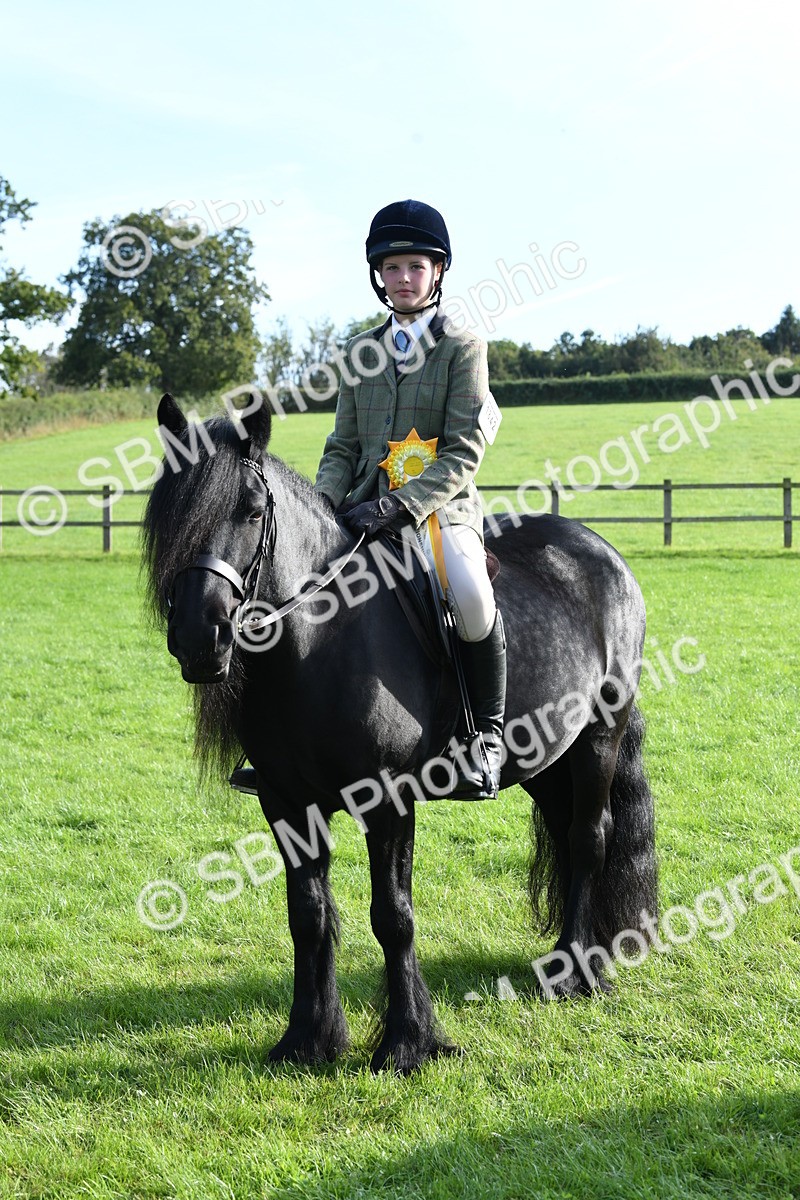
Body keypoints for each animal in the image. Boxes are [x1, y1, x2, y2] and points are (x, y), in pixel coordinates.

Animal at [142, 392, 657, 1074]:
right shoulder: (285, 802)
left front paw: (409, 1042)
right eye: (167, 513)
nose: (201, 638)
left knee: (587, 837)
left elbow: (393, 915)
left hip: (599, 736)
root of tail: (599, 551)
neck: (322, 639)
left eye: (252, 510)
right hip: (549, 757)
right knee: (567, 832)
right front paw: (308, 1039)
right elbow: (308, 915)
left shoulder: (386, 799)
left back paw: (576, 971)